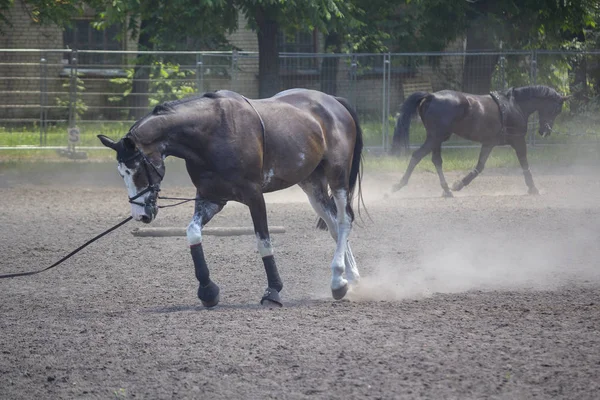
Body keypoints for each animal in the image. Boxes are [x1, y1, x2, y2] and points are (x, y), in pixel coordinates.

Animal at [97, 87, 366, 306]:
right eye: (121, 173)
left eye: (136, 169)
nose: (140, 215)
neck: (210, 135)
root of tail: (333, 101)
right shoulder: (211, 198)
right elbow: (192, 233)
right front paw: (208, 291)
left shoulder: (254, 196)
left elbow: (263, 241)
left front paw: (273, 291)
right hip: (312, 183)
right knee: (334, 225)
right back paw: (348, 279)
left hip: (337, 176)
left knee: (344, 220)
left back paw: (338, 280)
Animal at [392, 85, 568, 197]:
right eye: (556, 109)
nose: (545, 131)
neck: (515, 106)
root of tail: (432, 96)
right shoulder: (518, 140)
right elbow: (524, 163)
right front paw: (533, 188)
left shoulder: (489, 143)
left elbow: (480, 166)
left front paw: (459, 184)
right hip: (436, 137)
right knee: (417, 156)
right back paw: (398, 185)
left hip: (437, 139)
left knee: (436, 160)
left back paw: (447, 190)